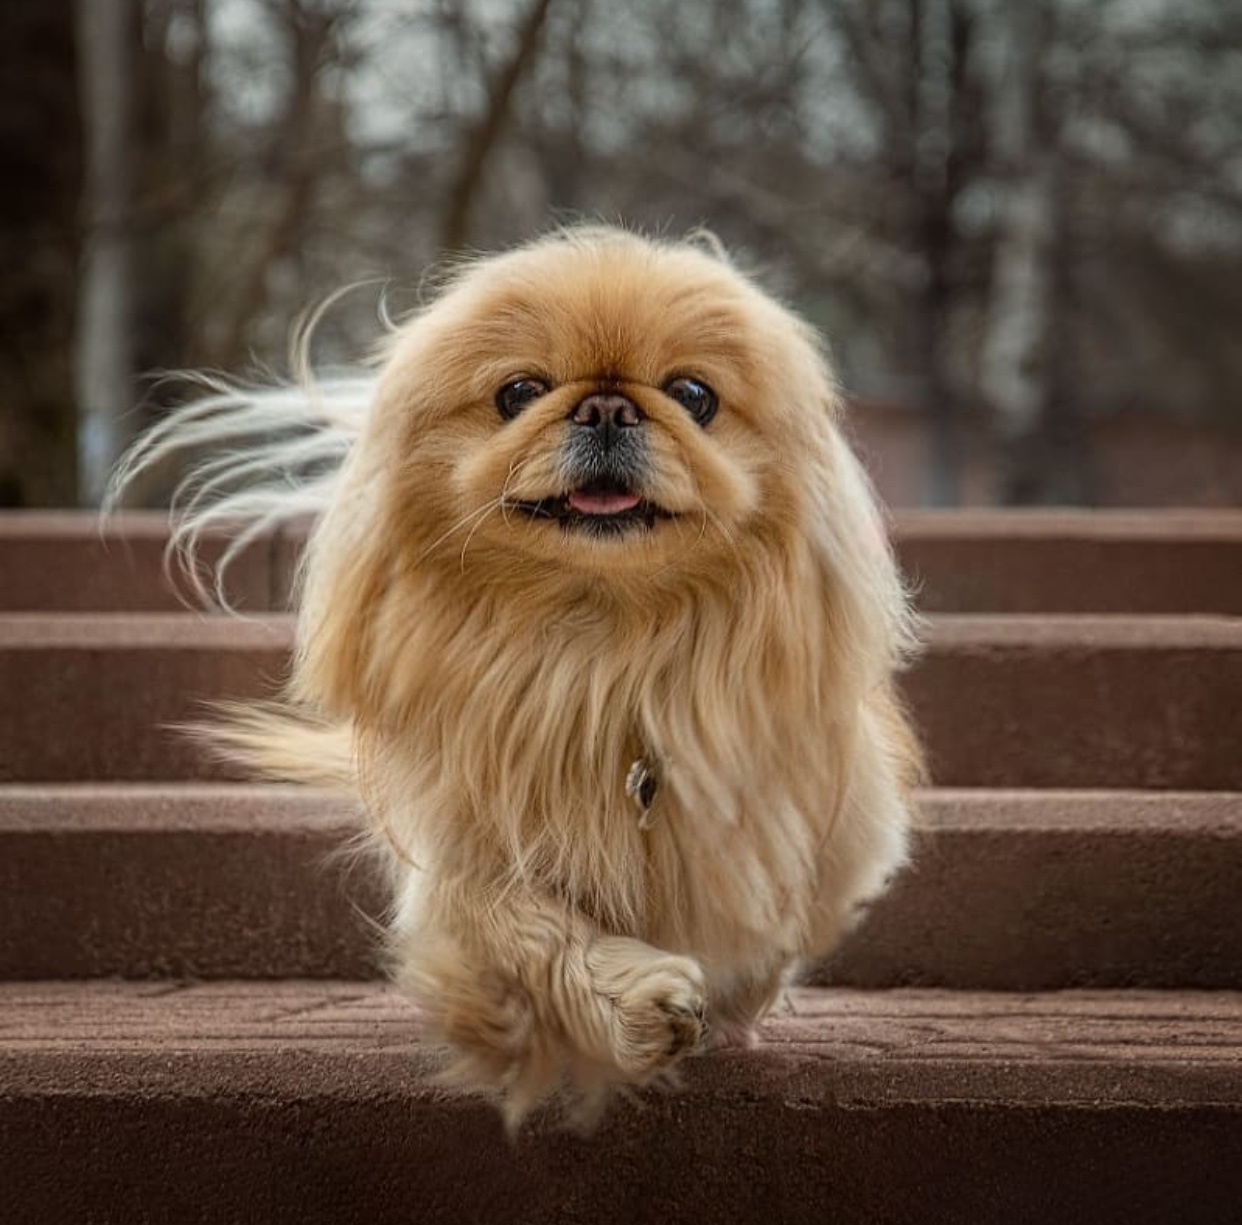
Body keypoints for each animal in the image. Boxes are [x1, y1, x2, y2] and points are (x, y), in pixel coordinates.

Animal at [114, 224, 924, 1123]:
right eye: (519, 392)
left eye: (694, 394)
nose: (607, 405)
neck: (602, 643)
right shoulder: (461, 844)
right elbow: (522, 925)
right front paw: (638, 1008)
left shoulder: (800, 825)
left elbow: (770, 919)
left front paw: (730, 1003)